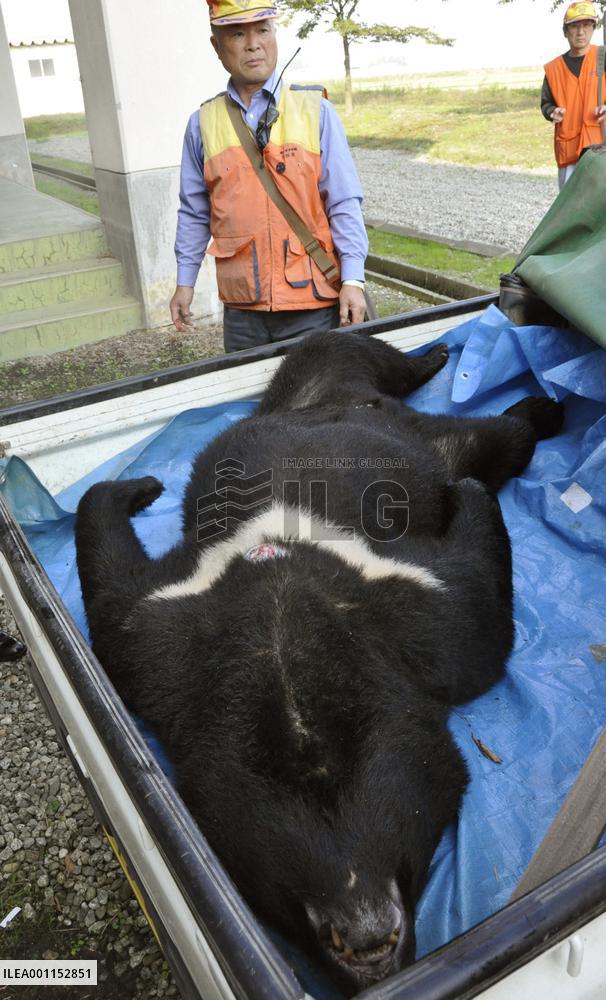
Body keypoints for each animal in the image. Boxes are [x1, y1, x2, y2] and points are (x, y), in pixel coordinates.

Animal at [75, 331, 564, 994]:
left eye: (407, 826)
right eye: (278, 890)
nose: (367, 939)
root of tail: (343, 402)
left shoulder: (402, 609)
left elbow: (479, 616)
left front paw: (141, 487)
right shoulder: (166, 635)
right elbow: (110, 591)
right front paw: (138, 489)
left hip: (390, 417)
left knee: (457, 415)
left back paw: (480, 380)